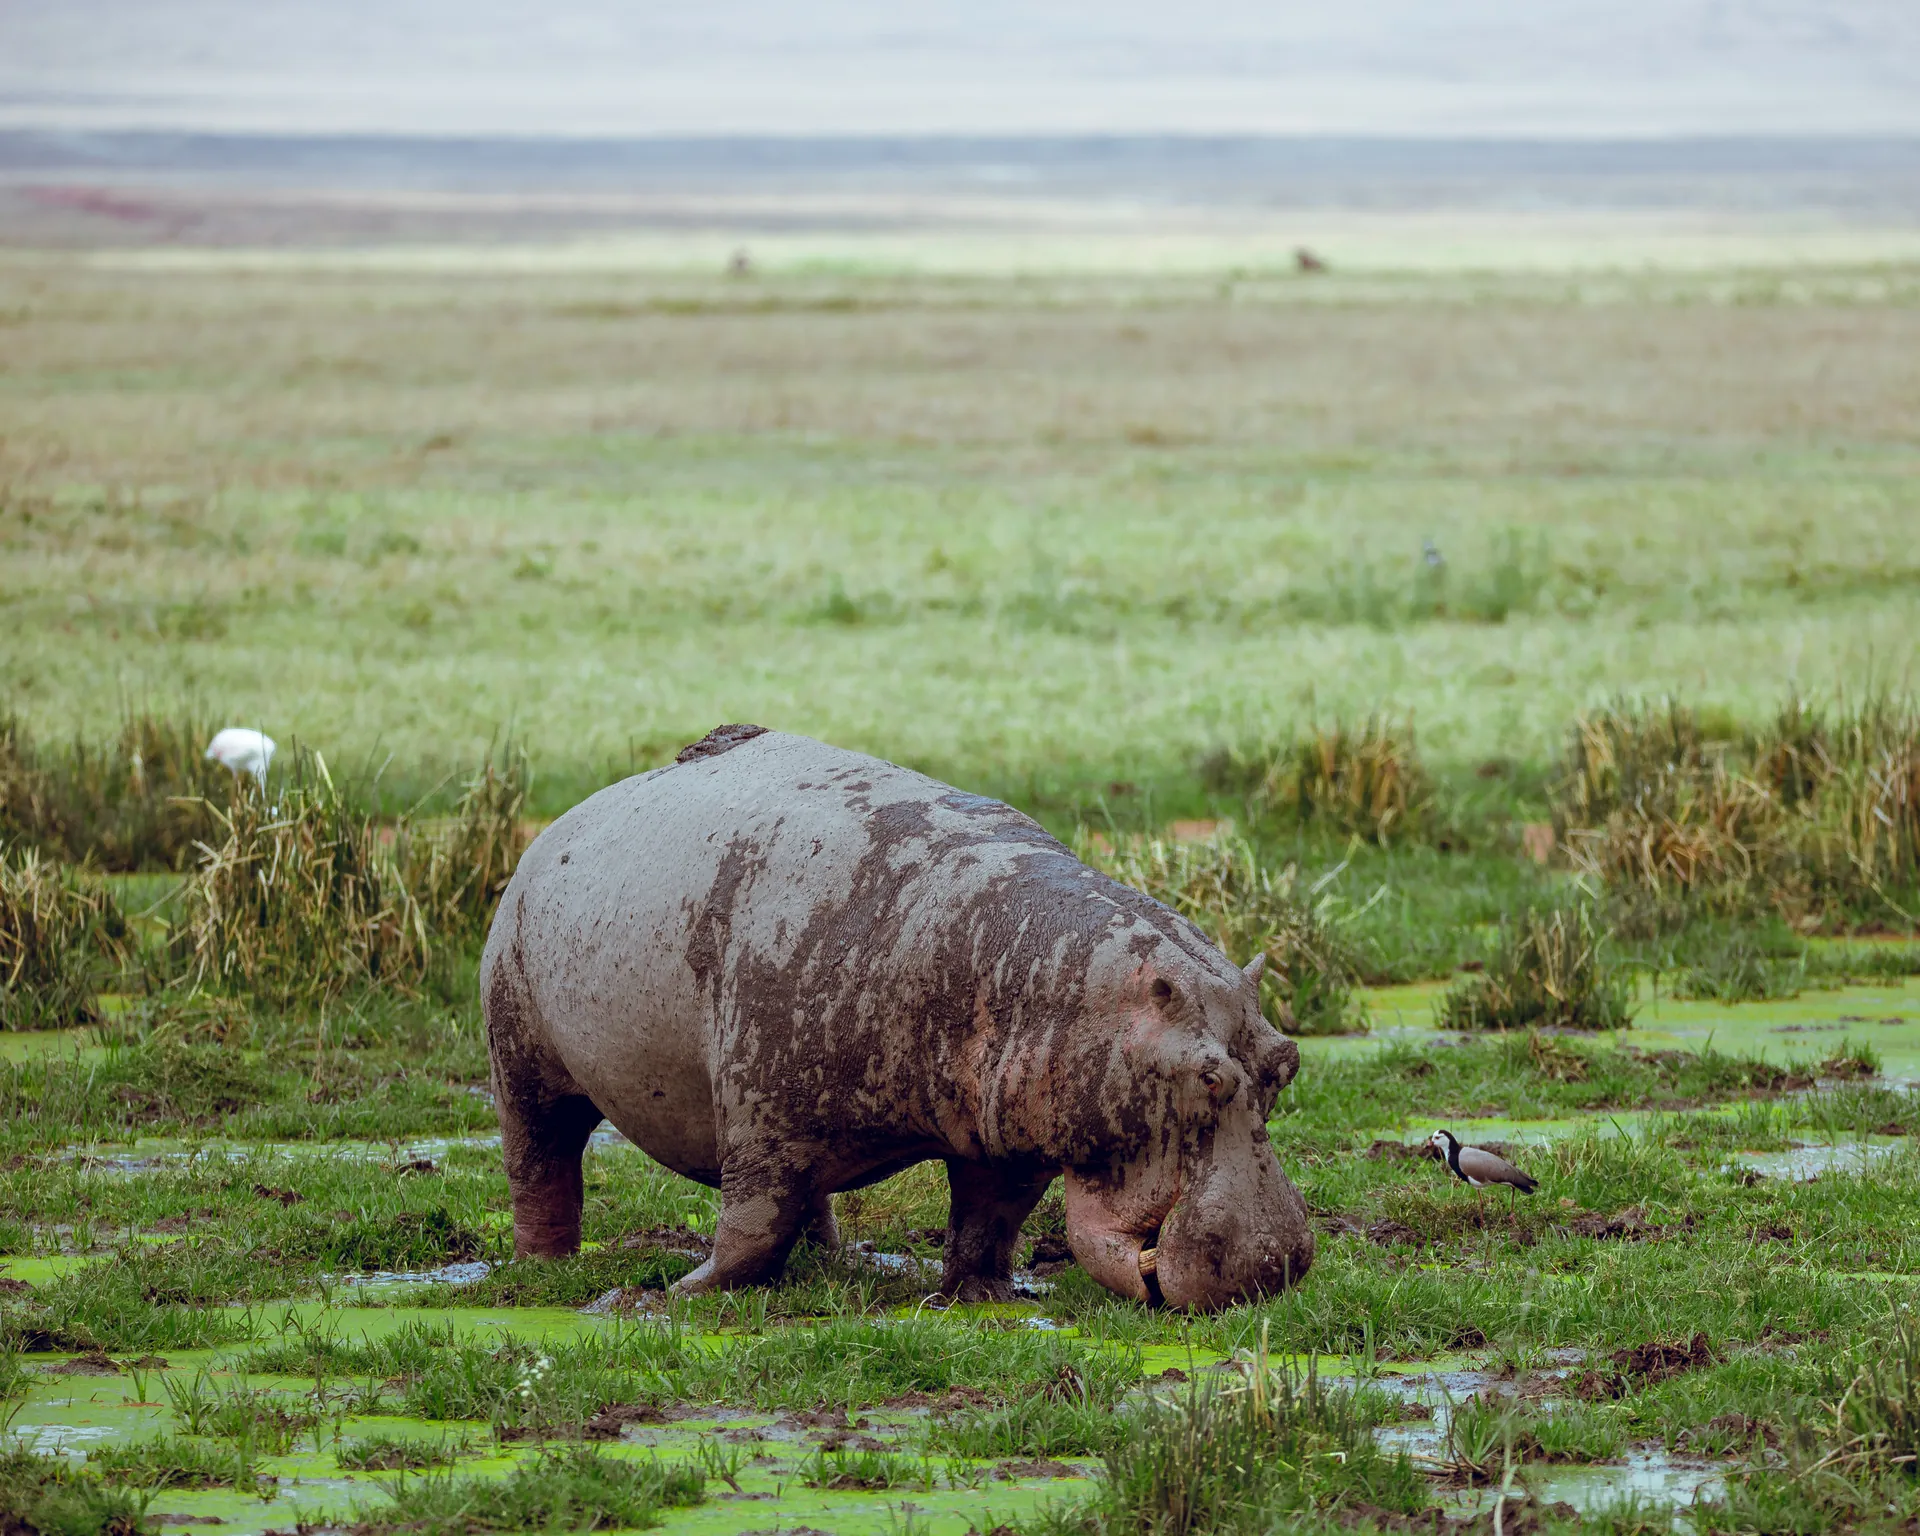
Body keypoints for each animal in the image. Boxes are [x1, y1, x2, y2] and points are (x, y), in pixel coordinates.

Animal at [480, 724, 1314, 1309]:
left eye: (1286, 1062)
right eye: (1206, 1075)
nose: (1276, 1261)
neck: (1024, 969)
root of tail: (560, 825)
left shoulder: (1006, 1141)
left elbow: (987, 1222)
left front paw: (983, 1299)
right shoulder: (759, 1122)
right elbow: (748, 1229)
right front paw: (669, 1297)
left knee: (810, 1204)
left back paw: (830, 1263)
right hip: (524, 1065)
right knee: (541, 1167)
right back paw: (548, 1269)